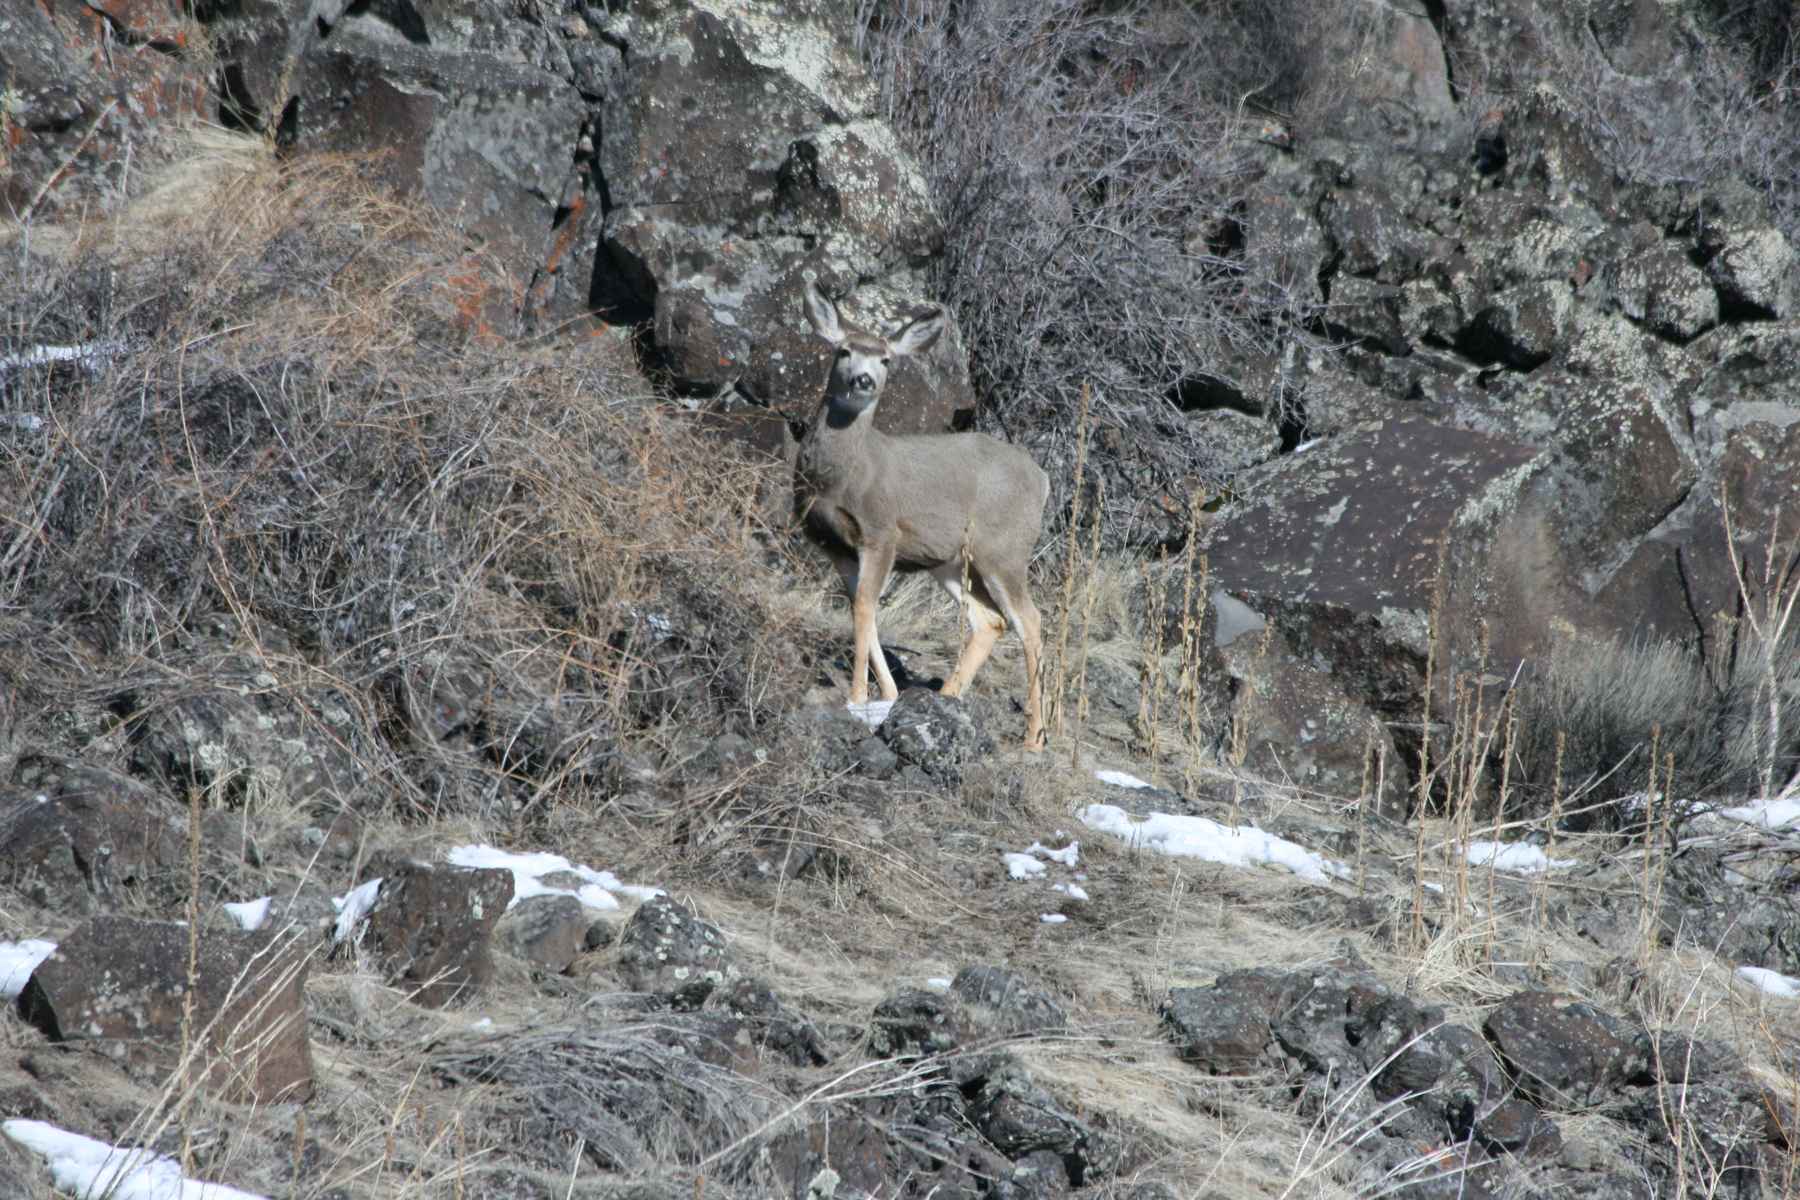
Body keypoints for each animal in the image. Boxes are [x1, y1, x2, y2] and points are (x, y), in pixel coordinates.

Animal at [794, 281, 1050, 750]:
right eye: (844, 351)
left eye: (885, 359)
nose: (864, 380)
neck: (841, 478)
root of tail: (1042, 480)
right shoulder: (833, 545)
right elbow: (862, 609)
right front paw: (888, 695)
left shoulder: (881, 534)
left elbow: (865, 607)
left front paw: (857, 698)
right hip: (948, 560)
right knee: (989, 621)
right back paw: (946, 698)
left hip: (1003, 550)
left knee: (1030, 621)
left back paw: (1034, 737)